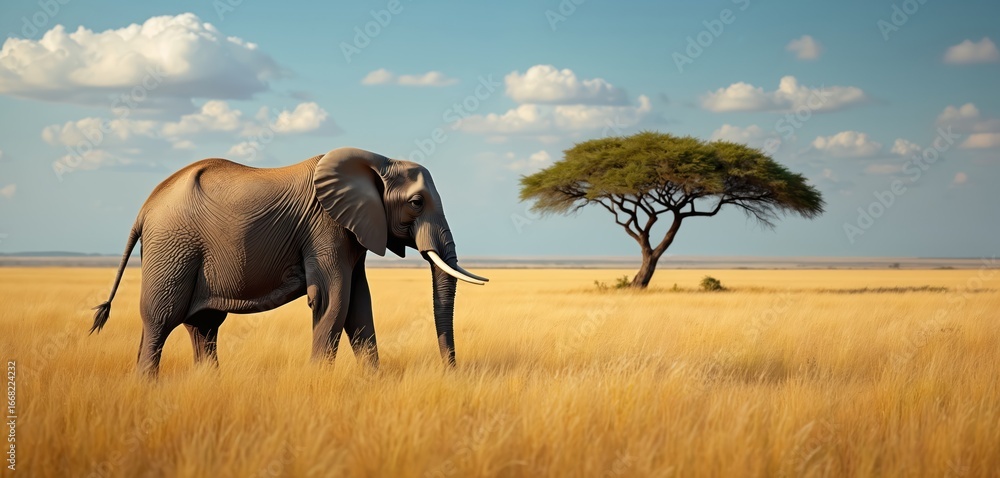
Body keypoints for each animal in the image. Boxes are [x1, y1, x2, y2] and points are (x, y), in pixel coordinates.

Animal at [90, 147, 488, 376]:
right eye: (417, 203)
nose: (451, 373)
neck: (376, 161)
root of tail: (144, 209)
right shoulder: (325, 225)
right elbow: (333, 298)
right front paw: (317, 383)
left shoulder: (351, 230)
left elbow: (359, 303)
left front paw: (373, 382)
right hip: (173, 249)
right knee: (161, 321)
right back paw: (147, 388)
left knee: (203, 326)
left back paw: (209, 385)